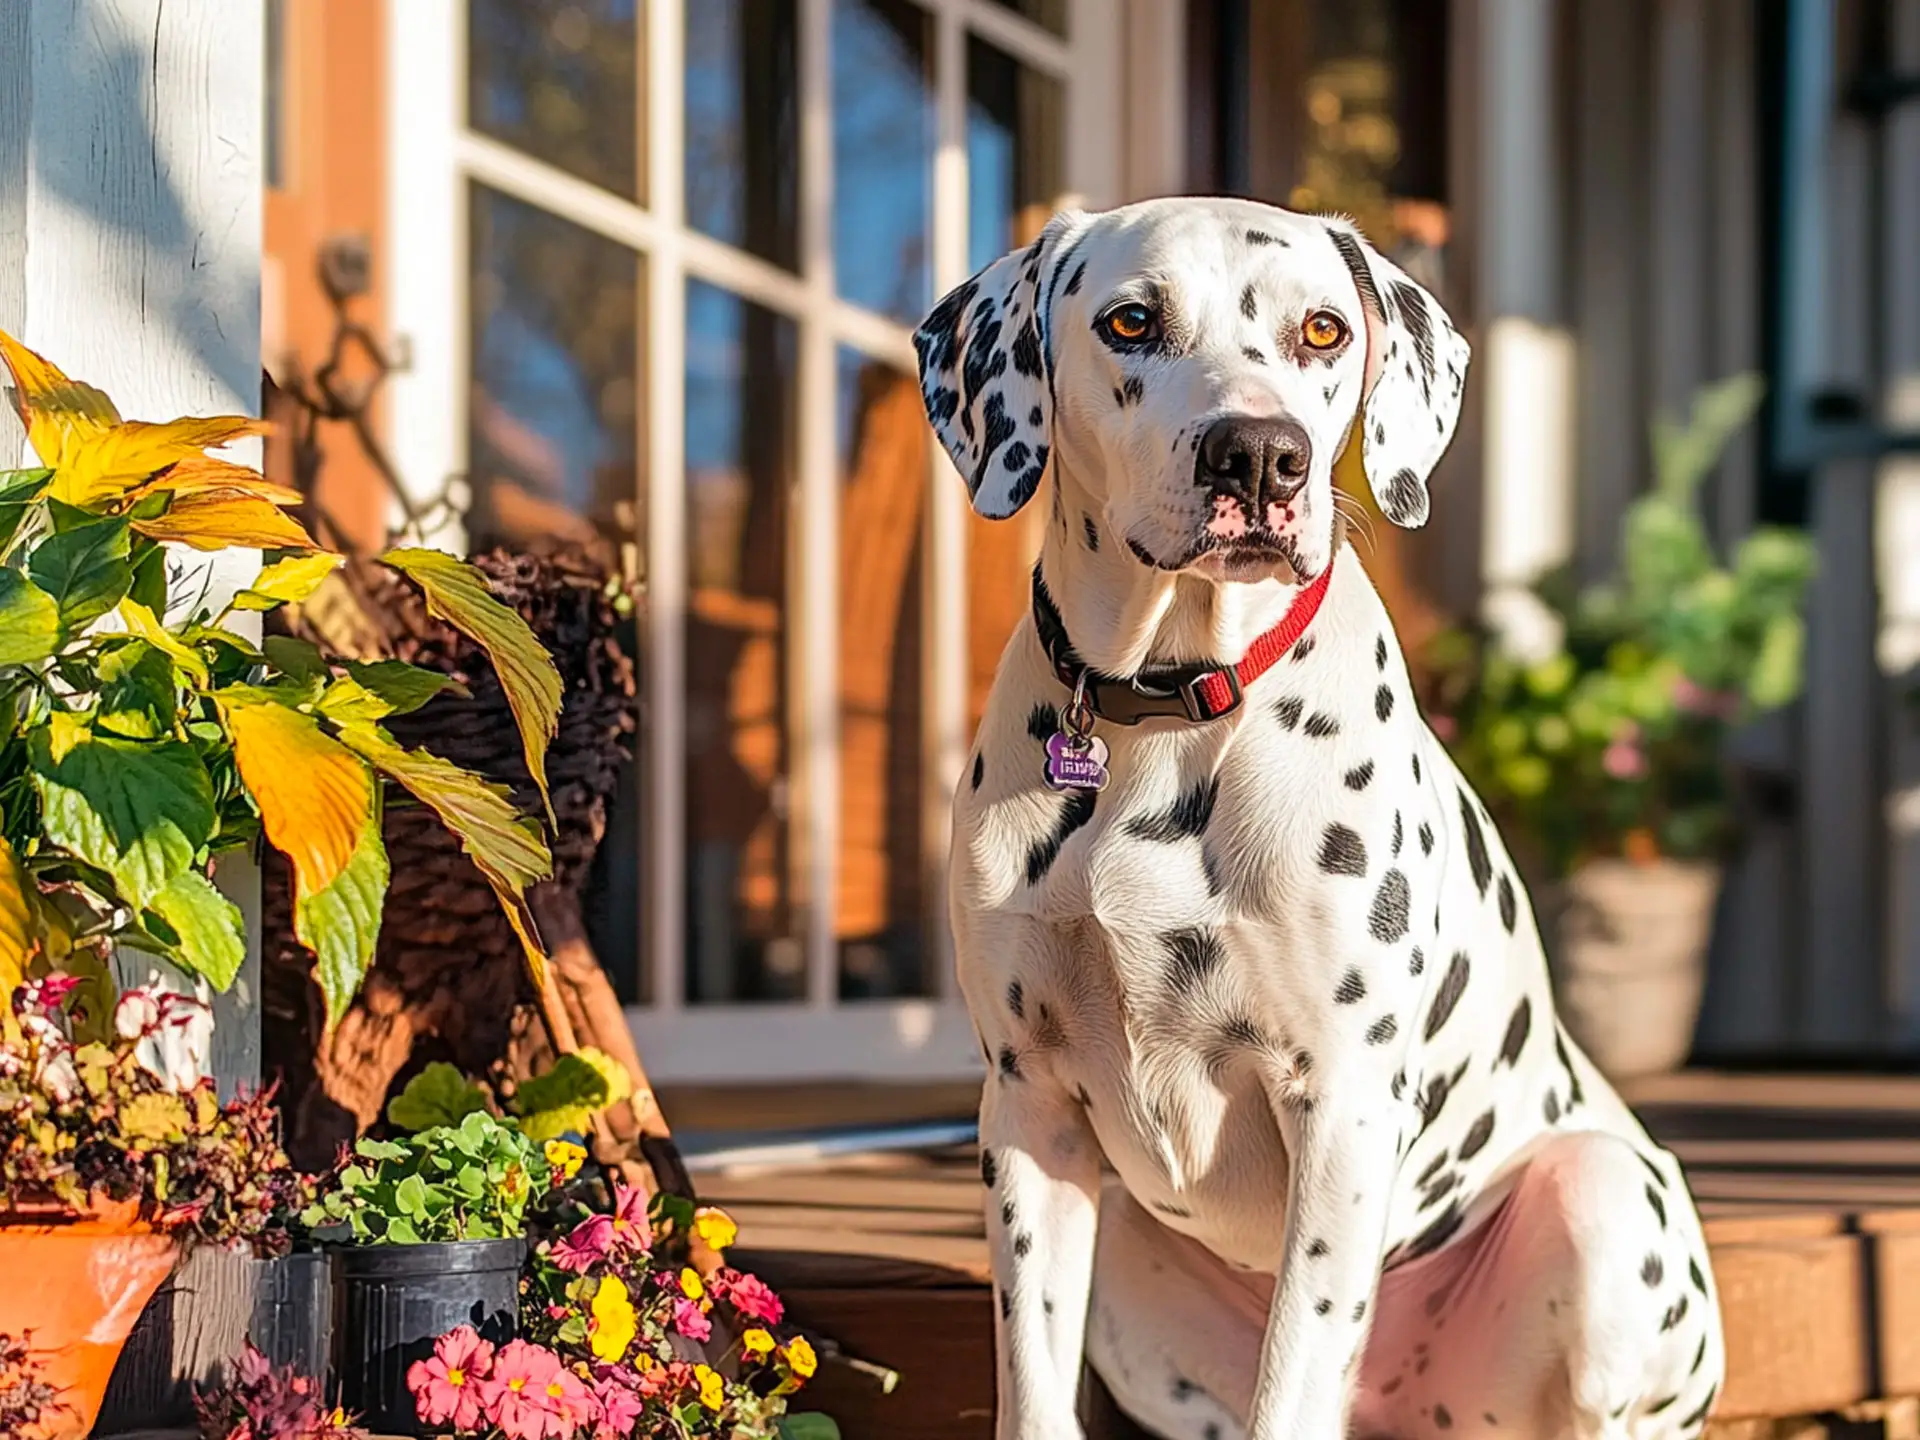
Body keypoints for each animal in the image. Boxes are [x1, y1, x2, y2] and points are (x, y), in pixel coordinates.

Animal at [910, 194, 1728, 1440]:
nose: (1258, 451)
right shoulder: (1029, 1109)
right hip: (1136, 1287)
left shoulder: (1340, 1107)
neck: (1166, 708)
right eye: (1131, 320)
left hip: (1601, 1204)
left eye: (1325, 331)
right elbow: (1036, 1397)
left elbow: (1293, 1376)